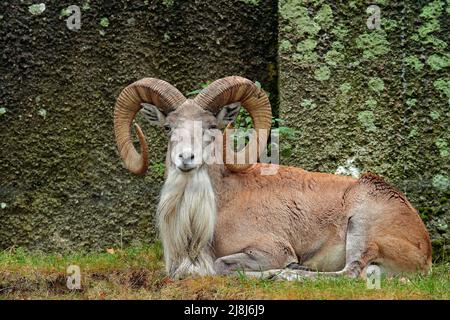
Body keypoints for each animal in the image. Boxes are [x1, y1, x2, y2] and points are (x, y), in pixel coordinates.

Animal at [114, 76, 430, 278]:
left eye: (211, 126)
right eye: (169, 127)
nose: (185, 158)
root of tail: (423, 247)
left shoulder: (269, 250)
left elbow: (219, 267)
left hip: (361, 227)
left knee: (350, 274)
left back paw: (285, 274)